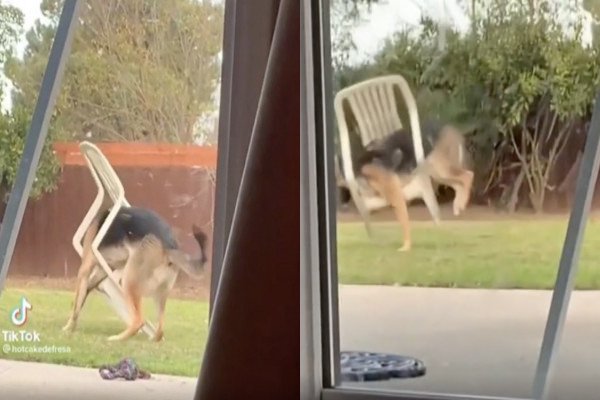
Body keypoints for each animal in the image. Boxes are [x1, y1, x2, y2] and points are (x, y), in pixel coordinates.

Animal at [62, 206, 209, 340]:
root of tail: (169, 246)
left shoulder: (85, 269)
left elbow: (76, 303)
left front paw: (68, 327)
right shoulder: (103, 270)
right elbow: (83, 295)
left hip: (129, 281)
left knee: (139, 321)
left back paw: (117, 338)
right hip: (158, 293)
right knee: (160, 330)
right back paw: (152, 339)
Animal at [356, 122, 474, 252]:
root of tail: (450, 128)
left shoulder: (397, 198)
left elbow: (405, 225)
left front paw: (406, 247)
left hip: (440, 169)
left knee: (468, 175)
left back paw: (461, 203)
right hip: (438, 174)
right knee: (459, 184)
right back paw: (458, 205)